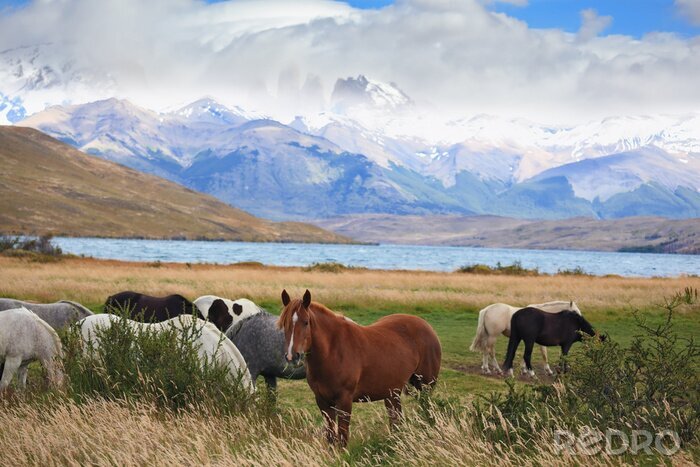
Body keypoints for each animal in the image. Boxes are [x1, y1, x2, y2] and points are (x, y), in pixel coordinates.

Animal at [276, 288, 440, 446]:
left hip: (425, 388)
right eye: (285, 324)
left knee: (427, 412)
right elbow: (330, 438)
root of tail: (427, 327)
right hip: (392, 393)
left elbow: (342, 439)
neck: (333, 351)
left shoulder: (344, 401)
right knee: (396, 420)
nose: (292, 356)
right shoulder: (323, 402)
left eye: (306, 322)